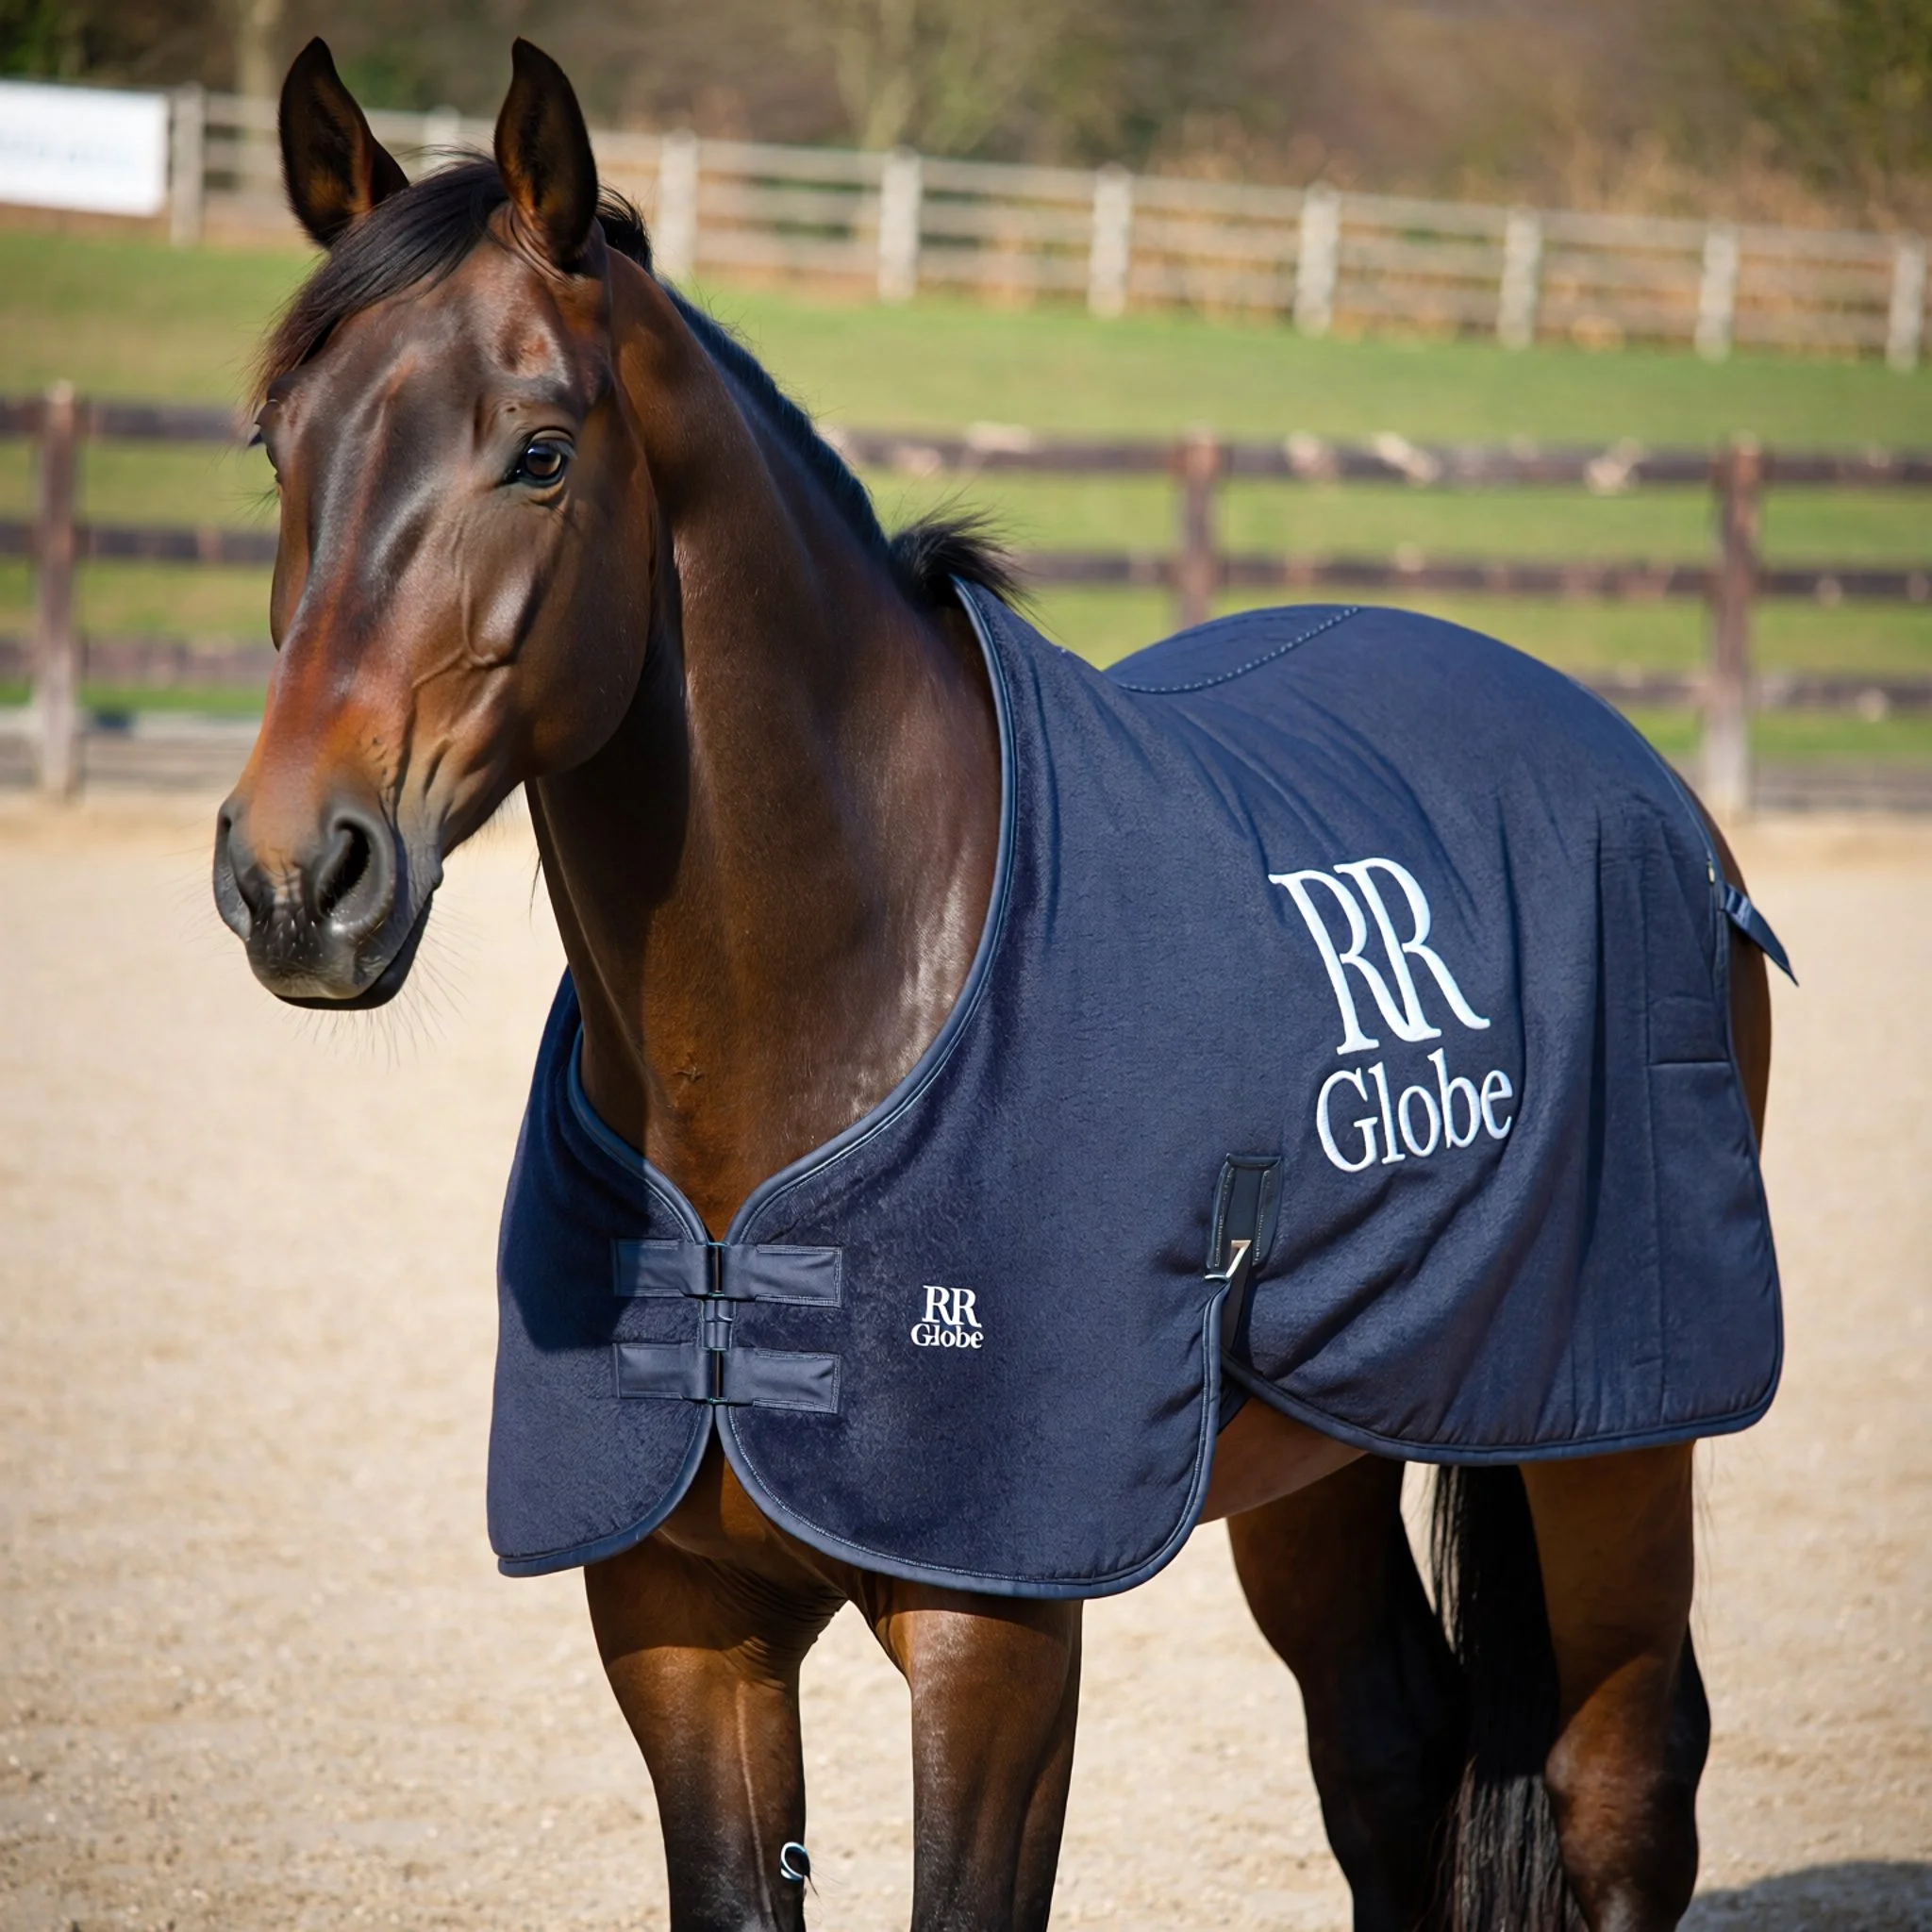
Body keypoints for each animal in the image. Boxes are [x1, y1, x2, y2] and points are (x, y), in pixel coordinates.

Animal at [211, 38, 1778, 1932]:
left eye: (539, 450)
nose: (295, 876)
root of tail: (1655, 786)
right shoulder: (678, 1624)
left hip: (1610, 1435)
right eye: (276, 442)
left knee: (1624, 1786)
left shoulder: (994, 1633)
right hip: (1327, 1447)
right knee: (1389, 1752)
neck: (846, 996)